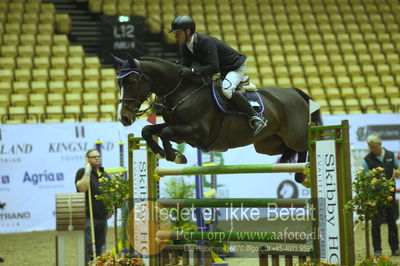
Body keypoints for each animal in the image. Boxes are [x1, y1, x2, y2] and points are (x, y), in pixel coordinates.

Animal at [112, 54, 322, 183]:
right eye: (119, 82)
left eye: (131, 80)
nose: (124, 118)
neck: (182, 91)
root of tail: (295, 92)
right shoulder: (179, 130)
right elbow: (148, 130)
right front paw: (165, 153)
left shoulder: (199, 132)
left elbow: (165, 132)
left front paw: (174, 155)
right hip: (267, 145)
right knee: (288, 150)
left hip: (294, 136)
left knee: (304, 144)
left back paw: (303, 174)